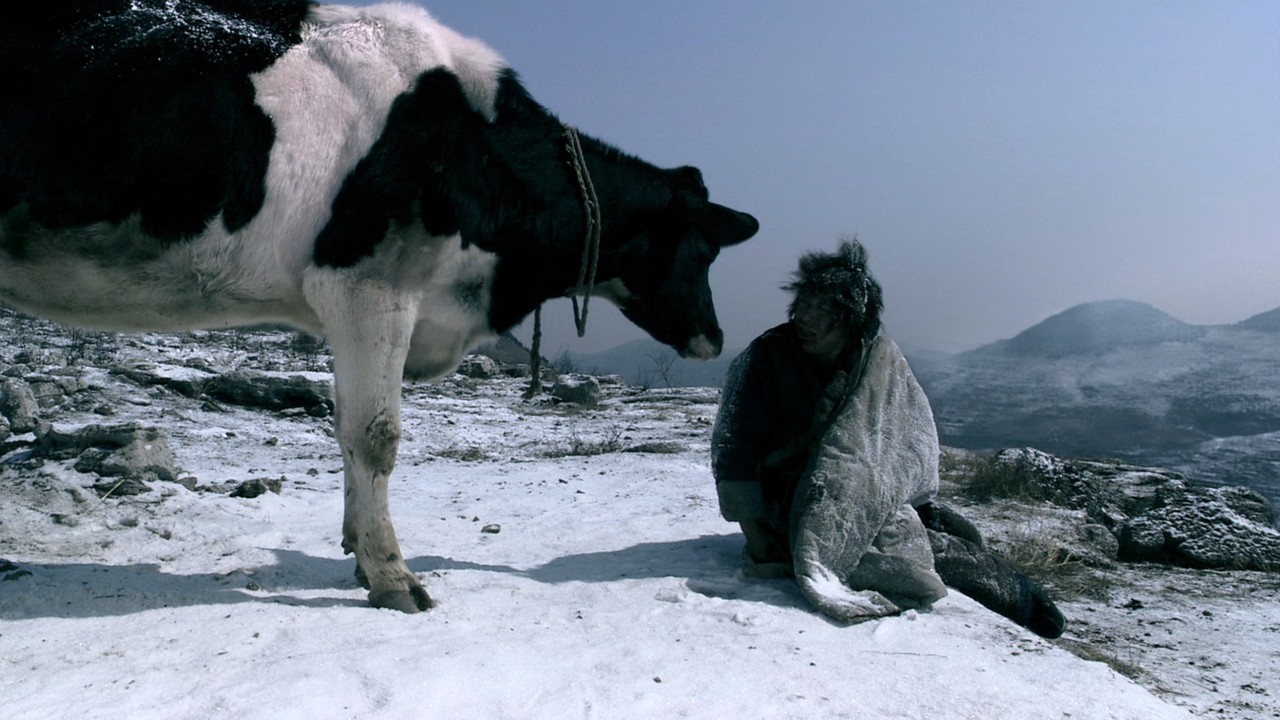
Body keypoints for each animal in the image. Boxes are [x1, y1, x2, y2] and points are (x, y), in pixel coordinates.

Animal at [0, 1, 758, 612]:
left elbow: (344, 427)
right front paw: (392, 575)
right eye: (703, 250)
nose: (715, 338)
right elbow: (375, 434)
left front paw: (355, 548)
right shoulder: (370, 285)